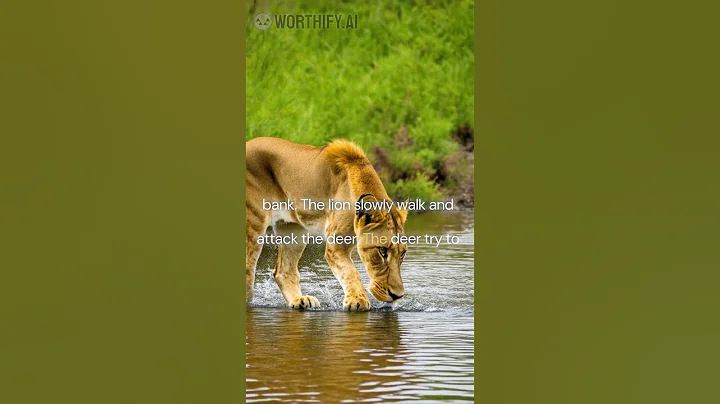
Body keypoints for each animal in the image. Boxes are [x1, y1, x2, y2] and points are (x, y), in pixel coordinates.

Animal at [246, 137, 408, 311]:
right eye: (382, 251)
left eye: (403, 253)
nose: (397, 296)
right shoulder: (336, 244)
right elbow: (350, 272)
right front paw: (358, 300)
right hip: (255, 220)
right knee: (248, 267)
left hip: (293, 229)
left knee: (283, 271)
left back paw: (299, 300)